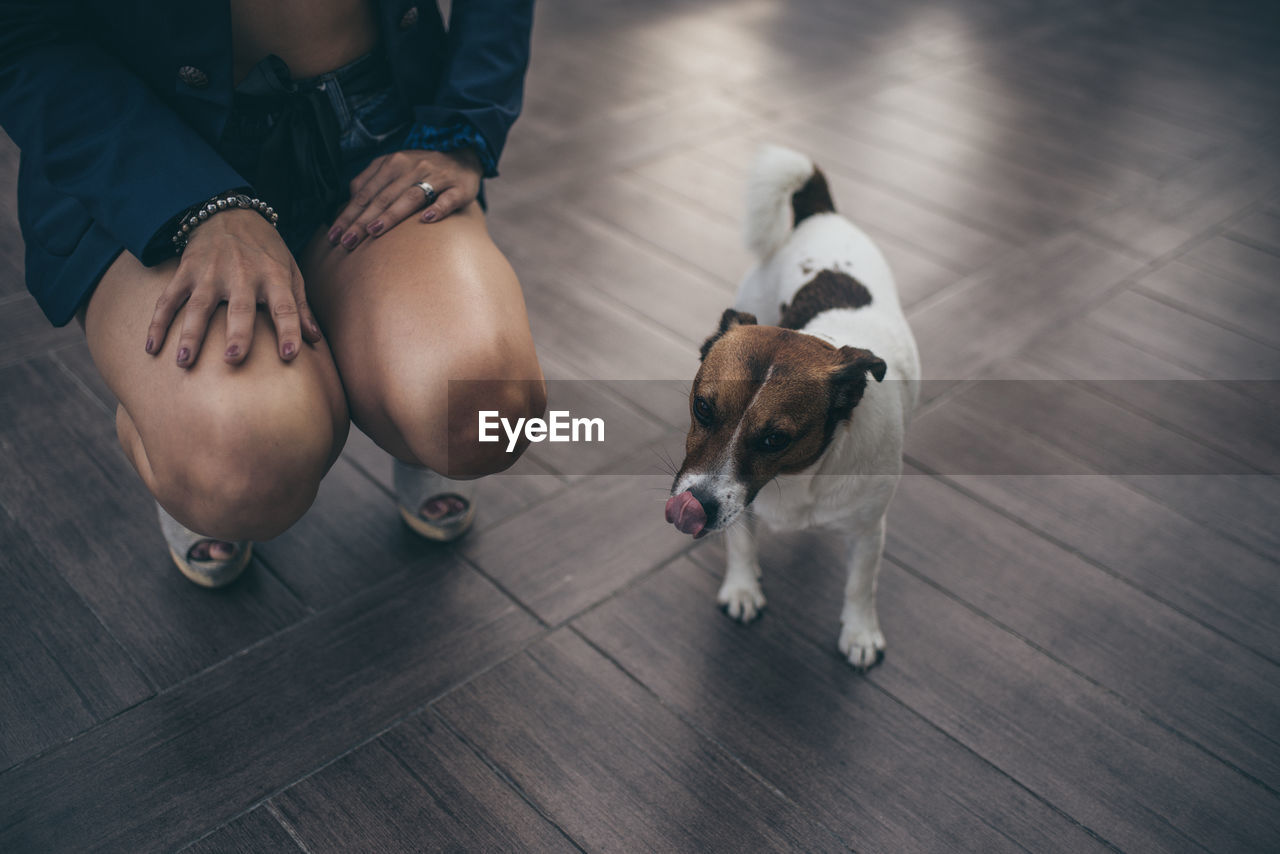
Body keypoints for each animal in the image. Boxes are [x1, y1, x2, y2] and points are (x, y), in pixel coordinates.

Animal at [665, 145, 916, 665]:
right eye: (703, 408)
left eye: (775, 438)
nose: (694, 506)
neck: (799, 477)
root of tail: (819, 212)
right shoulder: (738, 510)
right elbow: (741, 545)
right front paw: (742, 589)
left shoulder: (868, 531)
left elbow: (861, 585)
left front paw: (860, 632)